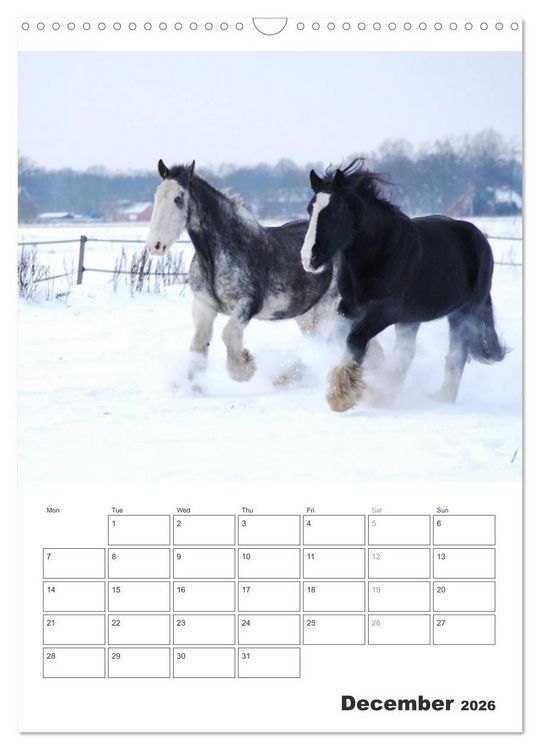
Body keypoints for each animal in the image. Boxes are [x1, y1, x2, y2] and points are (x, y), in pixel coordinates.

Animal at [146, 160, 338, 385]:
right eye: (157, 195)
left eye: (178, 198)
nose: (154, 245)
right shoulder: (203, 306)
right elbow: (198, 346)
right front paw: (193, 386)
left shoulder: (248, 303)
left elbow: (228, 334)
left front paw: (245, 367)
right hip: (306, 314)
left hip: (327, 308)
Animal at [300, 159, 506, 412]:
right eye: (310, 209)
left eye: (336, 210)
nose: (309, 259)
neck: (376, 254)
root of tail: (479, 238)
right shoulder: (349, 306)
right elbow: (339, 336)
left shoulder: (386, 311)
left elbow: (355, 339)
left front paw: (341, 396)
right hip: (412, 319)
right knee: (407, 354)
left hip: (464, 313)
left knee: (455, 356)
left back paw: (441, 398)